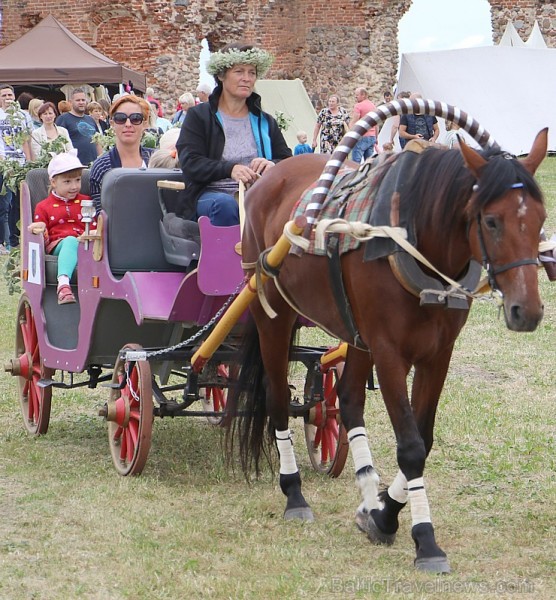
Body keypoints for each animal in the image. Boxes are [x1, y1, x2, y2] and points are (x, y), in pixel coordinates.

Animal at [226, 125, 548, 572]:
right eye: (491, 221)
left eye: (540, 220)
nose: (527, 310)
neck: (416, 241)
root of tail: (268, 175)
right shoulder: (389, 351)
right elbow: (410, 447)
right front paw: (424, 538)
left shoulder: (437, 354)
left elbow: (423, 438)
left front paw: (382, 513)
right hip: (271, 314)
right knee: (276, 401)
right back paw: (294, 494)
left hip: (355, 334)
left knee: (347, 401)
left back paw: (365, 492)